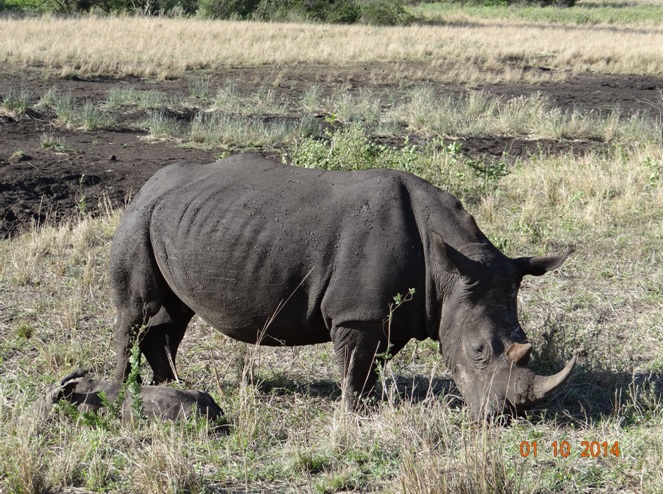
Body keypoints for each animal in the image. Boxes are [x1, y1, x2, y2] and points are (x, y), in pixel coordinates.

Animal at [110, 153, 576, 416]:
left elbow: (373, 363)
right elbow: (355, 364)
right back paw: (124, 390)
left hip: (178, 220)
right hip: (139, 216)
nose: (504, 416)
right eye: (478, 351)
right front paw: (355, 412)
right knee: (137, 312)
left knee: (174, 315)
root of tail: (150, 182)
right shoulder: (357, 314)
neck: (450, 270)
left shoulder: (391, 314)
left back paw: (173, 385)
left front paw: (369, 403)